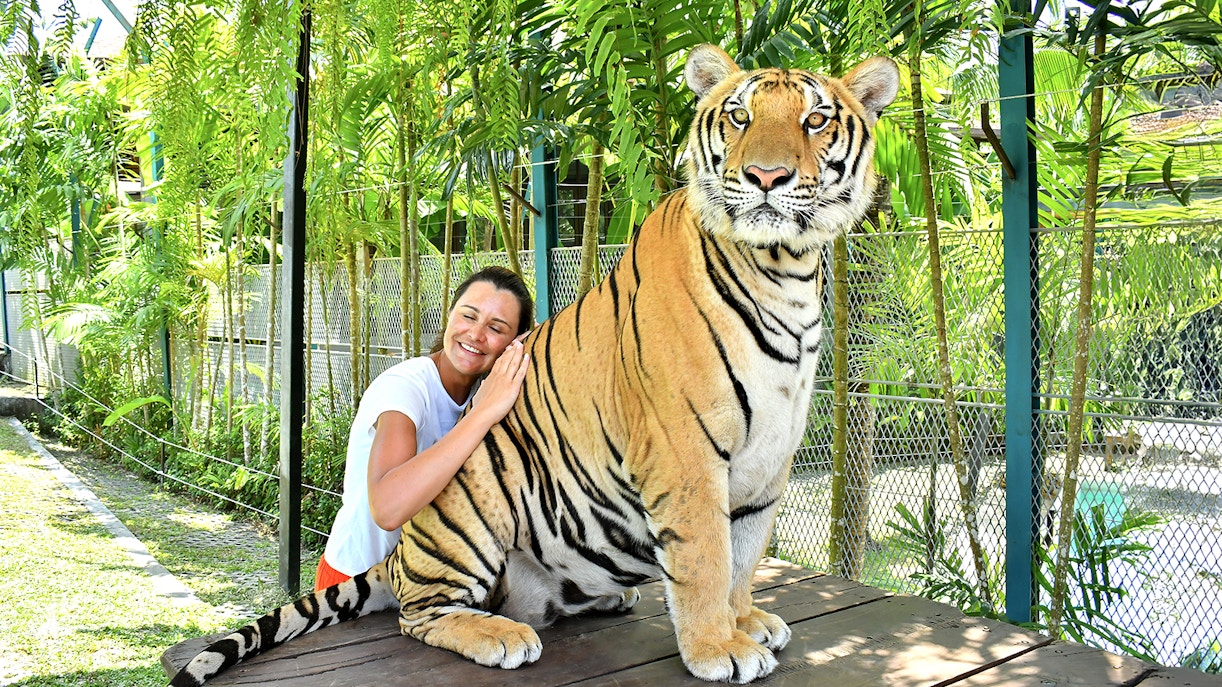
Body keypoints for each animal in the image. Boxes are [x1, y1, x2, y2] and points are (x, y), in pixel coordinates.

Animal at [170, 44, 898, 686]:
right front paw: (718, 647)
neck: (784, 270)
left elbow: (744, 558)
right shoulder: (685, 451)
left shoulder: (768, 460)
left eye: (815, 120)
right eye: (741, 117)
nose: (767, 179)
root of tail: (399, 556)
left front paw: (745, 621)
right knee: (419, 615)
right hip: (473, 500)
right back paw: (502, 635)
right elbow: (705, 560)